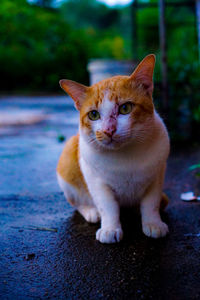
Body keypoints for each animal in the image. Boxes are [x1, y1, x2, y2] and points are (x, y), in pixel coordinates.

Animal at [56, 54, 170, 244]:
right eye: (94, 114)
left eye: (125, 108)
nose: (108, 130)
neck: (125, 155)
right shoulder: (96, 180)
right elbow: (107, 206)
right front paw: (110, 228)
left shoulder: (157, 176)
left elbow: (151, 203)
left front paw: (153, 223)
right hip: (68, 159)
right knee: (77, 203)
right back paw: (91, 211)